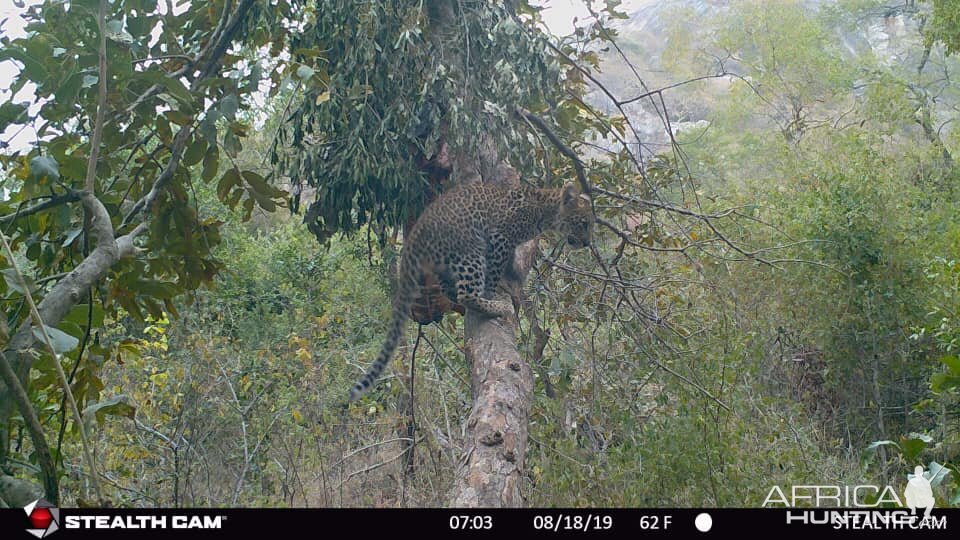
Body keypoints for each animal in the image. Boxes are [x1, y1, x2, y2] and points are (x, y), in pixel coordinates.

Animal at [348, 182, 588, 400]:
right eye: (584, 223)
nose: (586, 243)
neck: (545, 209)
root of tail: (415, 236)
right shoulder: (500, 238)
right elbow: (495, 268)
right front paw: (493, 289)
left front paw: (510, 276)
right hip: (470, 250)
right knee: (467, 295)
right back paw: (496, 306)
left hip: (443, 266)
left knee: (451, 292)